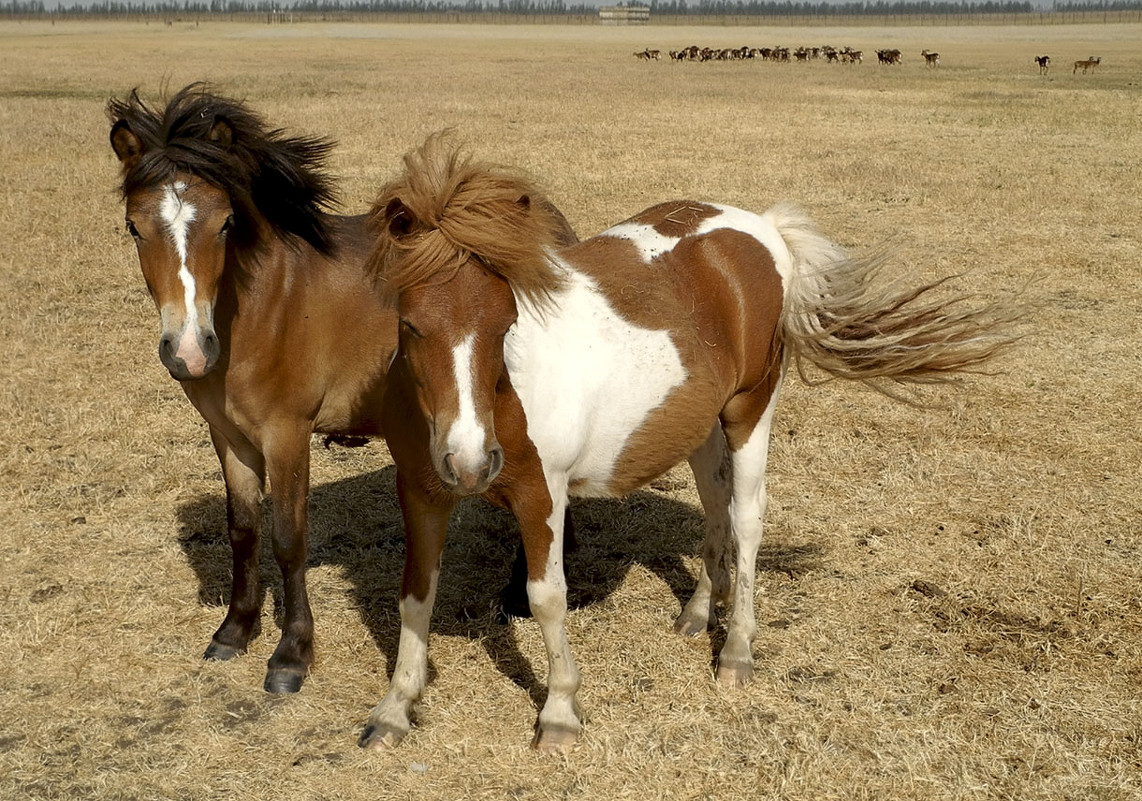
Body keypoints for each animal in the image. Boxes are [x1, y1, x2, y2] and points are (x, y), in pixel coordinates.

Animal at [107, 85, 575, 694]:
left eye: (226, 224)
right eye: (134, 227)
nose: (188, 350)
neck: (264, 307)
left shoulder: (286, 435)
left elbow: (288, 537)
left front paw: (291, 654)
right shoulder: (229, 436)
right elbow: (242, 528)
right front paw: (235, 629)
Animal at [360, 134, 1023, 754]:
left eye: (506, 324)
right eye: (412, 325)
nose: (472, 463)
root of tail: (761, 228)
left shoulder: (540, 494)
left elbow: (547, 598)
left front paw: (560, 713)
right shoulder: (420, 493)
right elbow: (414, 597)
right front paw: (394, 710)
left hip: (750, 409)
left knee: (747, 518)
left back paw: (736, 651)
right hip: (698, 426)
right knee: (715, 508)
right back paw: (699, 612)